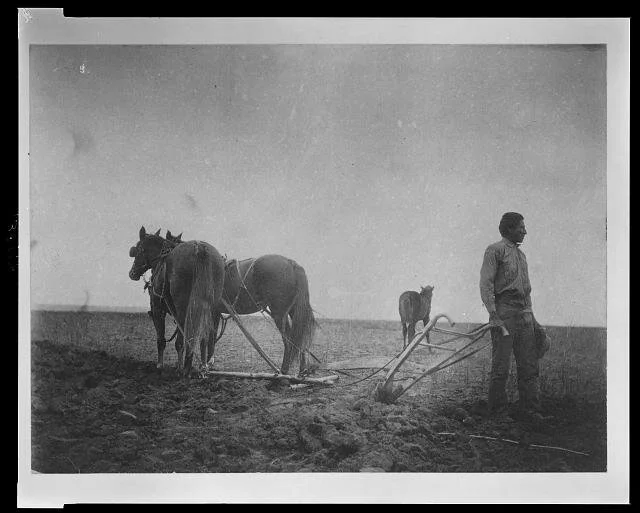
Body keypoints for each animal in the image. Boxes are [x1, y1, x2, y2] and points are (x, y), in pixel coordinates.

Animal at [128, 226, 225, 376]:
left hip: (182, 307)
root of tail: (199, 248)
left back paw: (184, 369)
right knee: (207, 336)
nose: (132, 273)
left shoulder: (158, 309)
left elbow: (161, 339)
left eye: (138, 248)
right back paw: (203, 366)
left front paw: (161, 365)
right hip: (212, 305)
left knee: (184, 338)